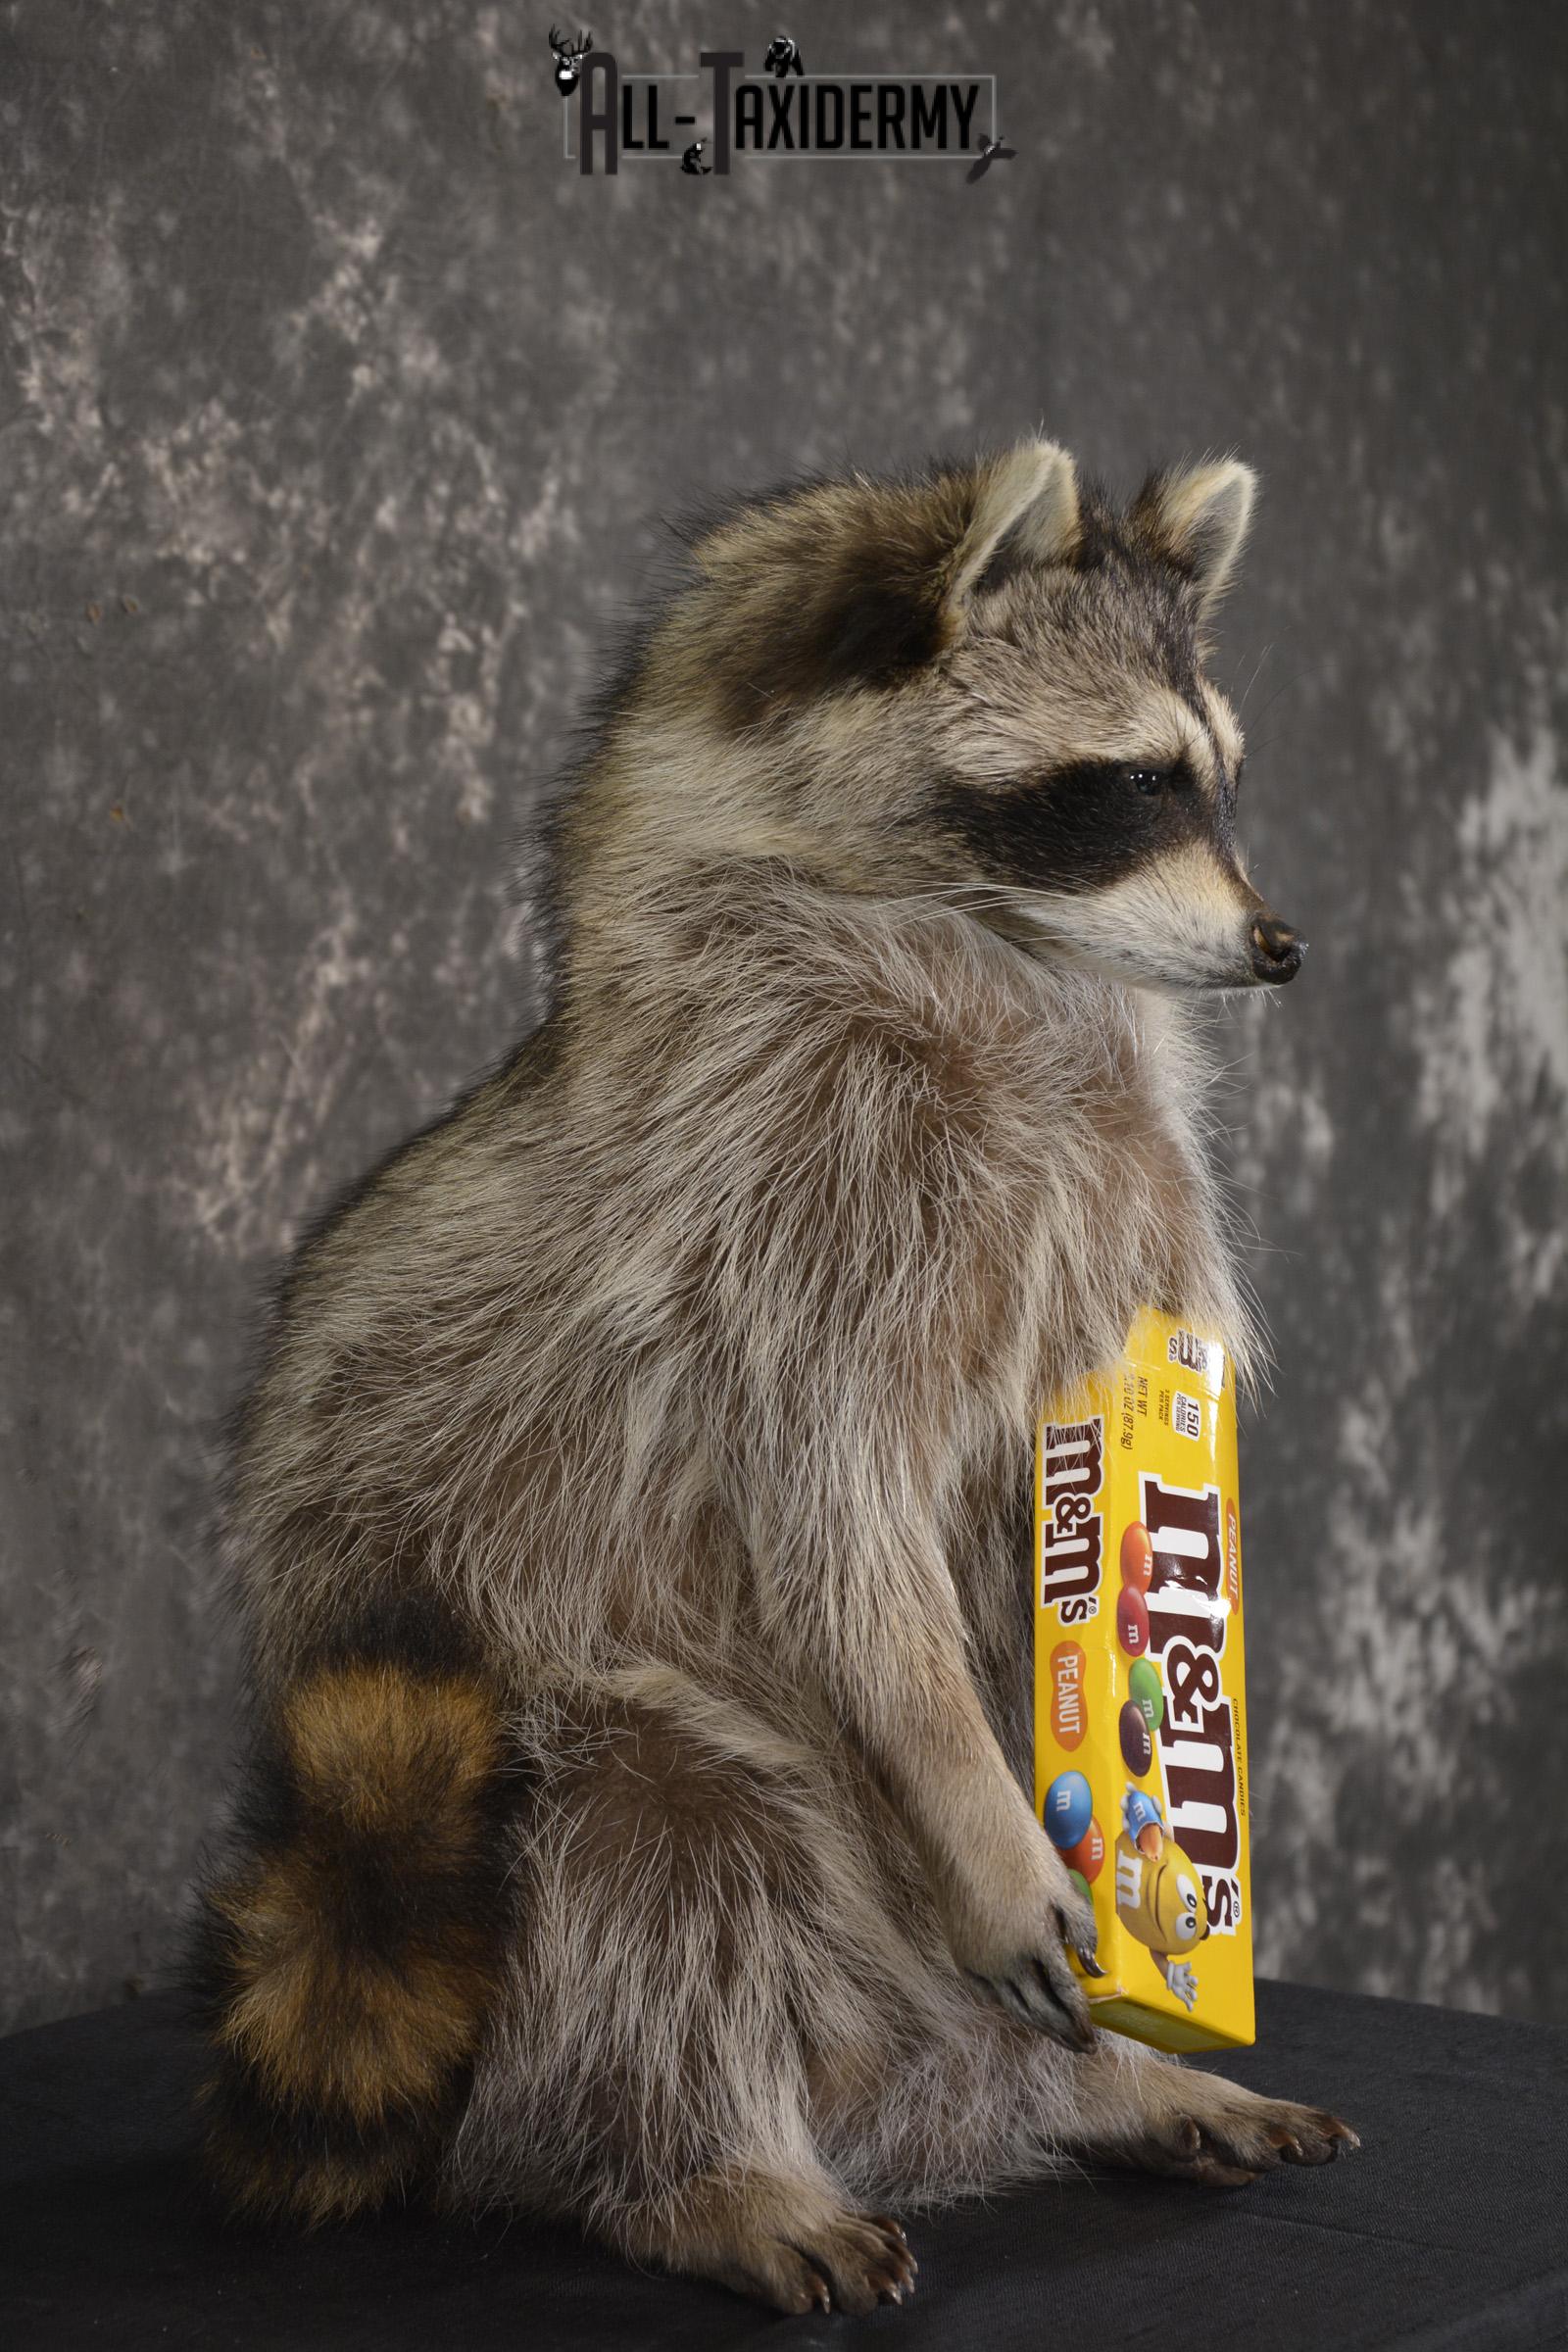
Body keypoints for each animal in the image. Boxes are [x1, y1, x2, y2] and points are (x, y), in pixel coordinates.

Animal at [192, 442, 1356, 2314]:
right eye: (1121, 786)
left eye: (1223, 782)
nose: (1280, 945)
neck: (1002, 946)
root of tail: (898, 2098)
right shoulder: (785, 1197)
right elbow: (835, 1531)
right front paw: (983, 1811)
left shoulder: (1107, 1204)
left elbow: (1041, 1516)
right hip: (536, 1760)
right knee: (662, 1850)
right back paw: (704, 2163)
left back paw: (1107, 2077)